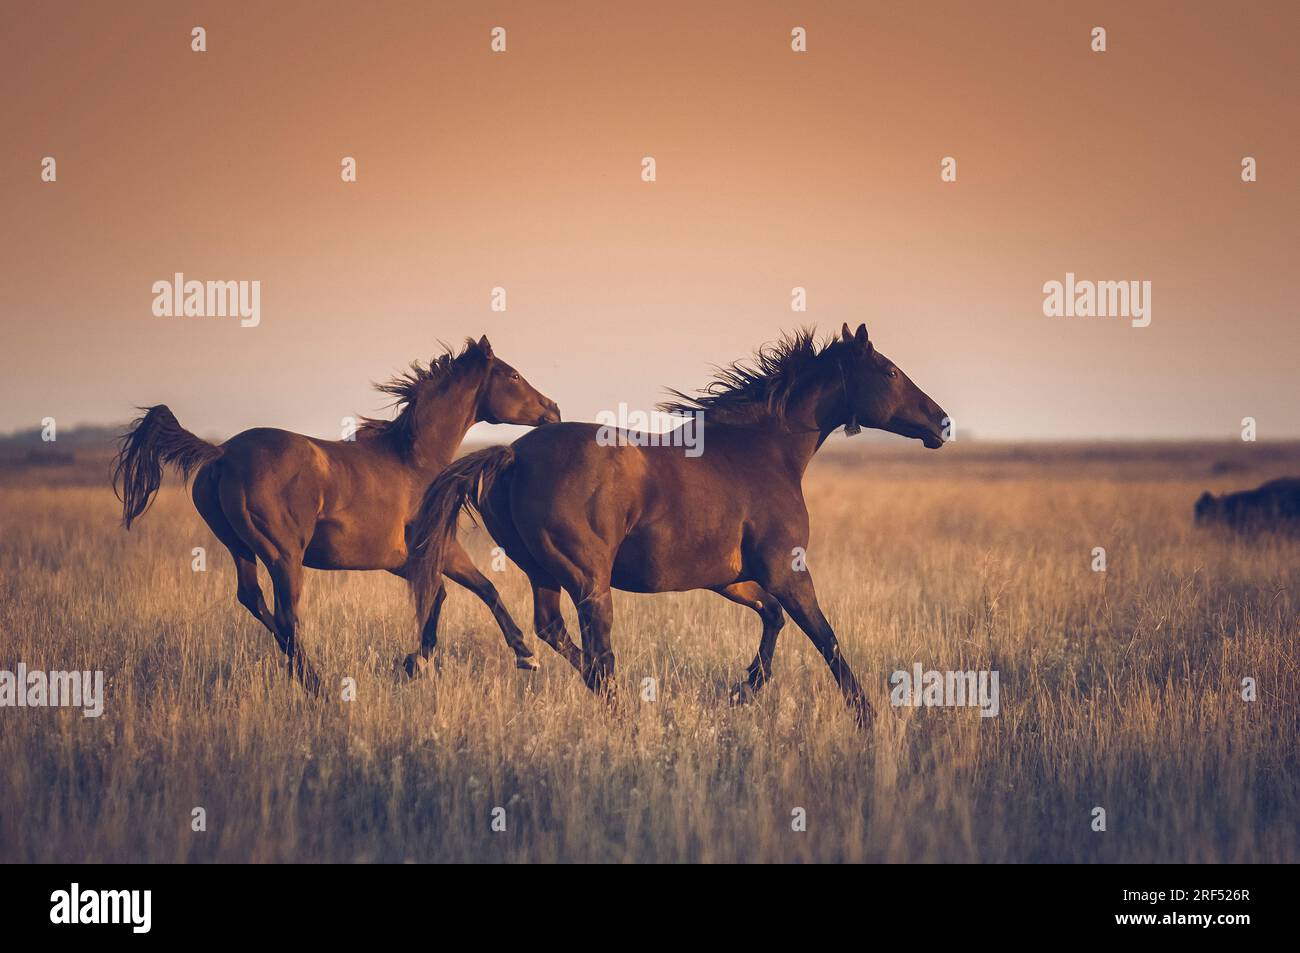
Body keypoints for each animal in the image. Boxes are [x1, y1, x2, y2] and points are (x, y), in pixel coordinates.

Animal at [111, 335, 559, 691]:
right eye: (512, 375)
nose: (553, 409)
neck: (415, 460)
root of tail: (221, 453)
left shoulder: (403, 561)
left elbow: (439, 596)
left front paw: (418, 663)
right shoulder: (442, 550)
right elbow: (484, 588)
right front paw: (526, 654)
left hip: (241, 548)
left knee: (254, 601)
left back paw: (303, 672)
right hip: (283, 555)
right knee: (287, 617)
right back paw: (317, 686)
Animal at [410, 323, 951, 722]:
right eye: (889, 371)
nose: (942, 423)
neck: (761, 452)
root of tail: (512, 455)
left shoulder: (728, 578)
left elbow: (773, 617)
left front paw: (744, 690)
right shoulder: (787, 571)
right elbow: (825, 637)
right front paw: (866, 715)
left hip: (543, 572)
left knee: (554, 632)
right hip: (588, 579)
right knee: (598, 650)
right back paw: (620, 712)